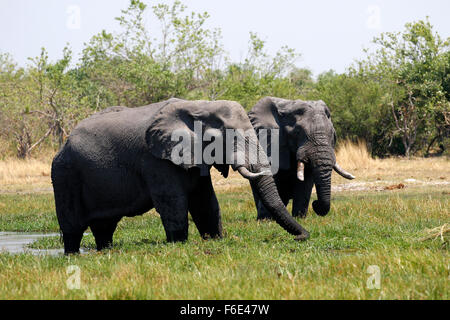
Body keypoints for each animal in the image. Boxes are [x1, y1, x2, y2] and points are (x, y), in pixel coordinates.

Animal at [51, 99, 310, 254]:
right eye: (231, 137)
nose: (302, 237)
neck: (199, 107)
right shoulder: (155, 159)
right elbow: (172, 201)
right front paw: (178, 243)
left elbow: (205, 200)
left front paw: (214, 239)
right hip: (65, 175)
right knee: (73, 227)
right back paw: (72, 255)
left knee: (104, 226)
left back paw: (106, 251)